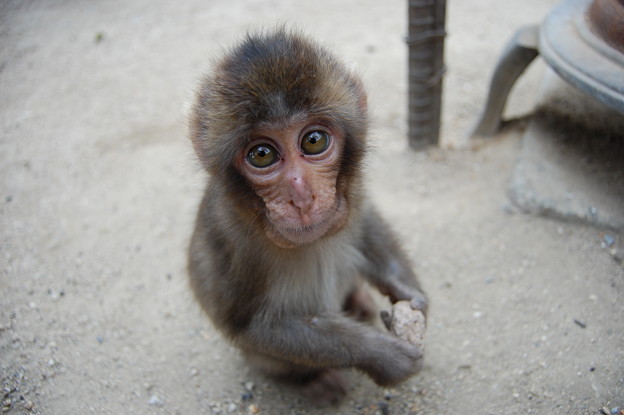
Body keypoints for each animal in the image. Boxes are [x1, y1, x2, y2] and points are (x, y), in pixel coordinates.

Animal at [188, 29, 426, 406]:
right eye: (261, 154)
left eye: (314, 141)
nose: (301, 196)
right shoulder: (229, 237)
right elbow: (254, 327)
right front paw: (386, 357)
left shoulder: (353, 195)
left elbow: (365, 220)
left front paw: (407, 290)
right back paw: (312, 380)